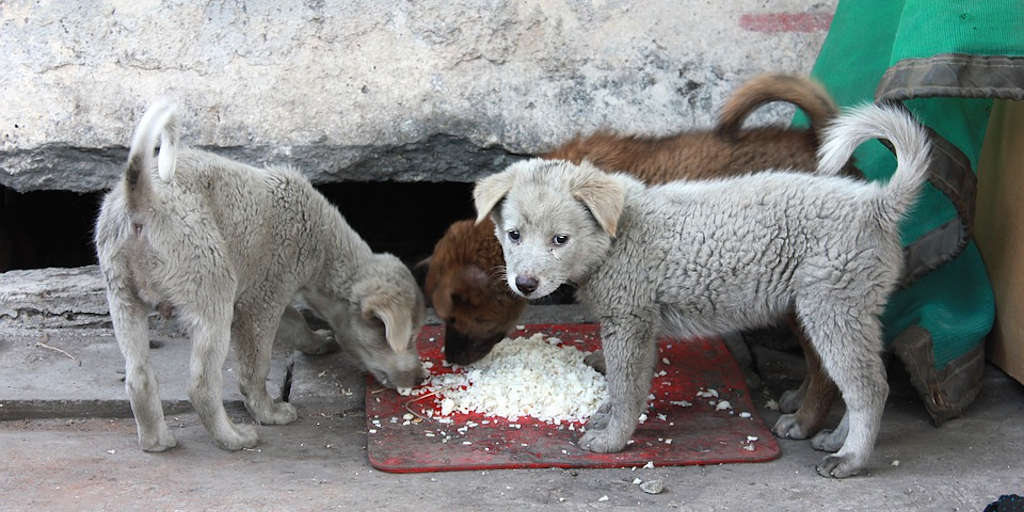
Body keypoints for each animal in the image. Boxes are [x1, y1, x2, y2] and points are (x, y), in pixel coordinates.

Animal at [97, 100, 425, 452]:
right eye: (407, 337)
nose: (421, 378)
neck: (322, 244)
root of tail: (141, 200)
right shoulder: (261, 302)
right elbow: (256, 368)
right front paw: (269, 412)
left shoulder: (264, 293)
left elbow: (297, 324)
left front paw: (318, 341)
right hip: (212, 287)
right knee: (202, 385)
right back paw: (234, 438)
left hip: (122, 297)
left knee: (139, 377)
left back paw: (156, 441)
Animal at [475, 101, 933, 477]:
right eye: (513, 235)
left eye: (560, 240)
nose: (525, 284)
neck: (618, 234)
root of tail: (876, 204)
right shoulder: (640, 324)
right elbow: (625, 386)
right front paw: (605, 416)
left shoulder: (629, 321)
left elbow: (626, 387)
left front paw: (611, 440)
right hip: (854, 310)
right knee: (864, 381)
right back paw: (837, 438)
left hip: (832, 308)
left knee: (867, 387)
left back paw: (849, 457)